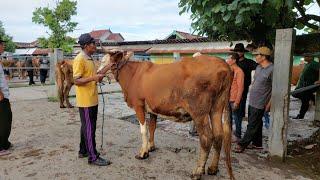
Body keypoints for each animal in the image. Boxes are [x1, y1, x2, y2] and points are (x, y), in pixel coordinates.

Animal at [106, 51, 234, 179]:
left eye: (107, 61)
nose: (100, 73)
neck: (133, 75)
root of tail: (223, 64)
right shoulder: (153, 109)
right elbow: (152, 127)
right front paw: (151, 147)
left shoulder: (138, 105)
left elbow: (144, 130)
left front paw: (143, 153)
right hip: (216, 107)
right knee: (218, 135)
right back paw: (213, 168)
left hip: (199, 112)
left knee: (206, 138)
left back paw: (197, 172)